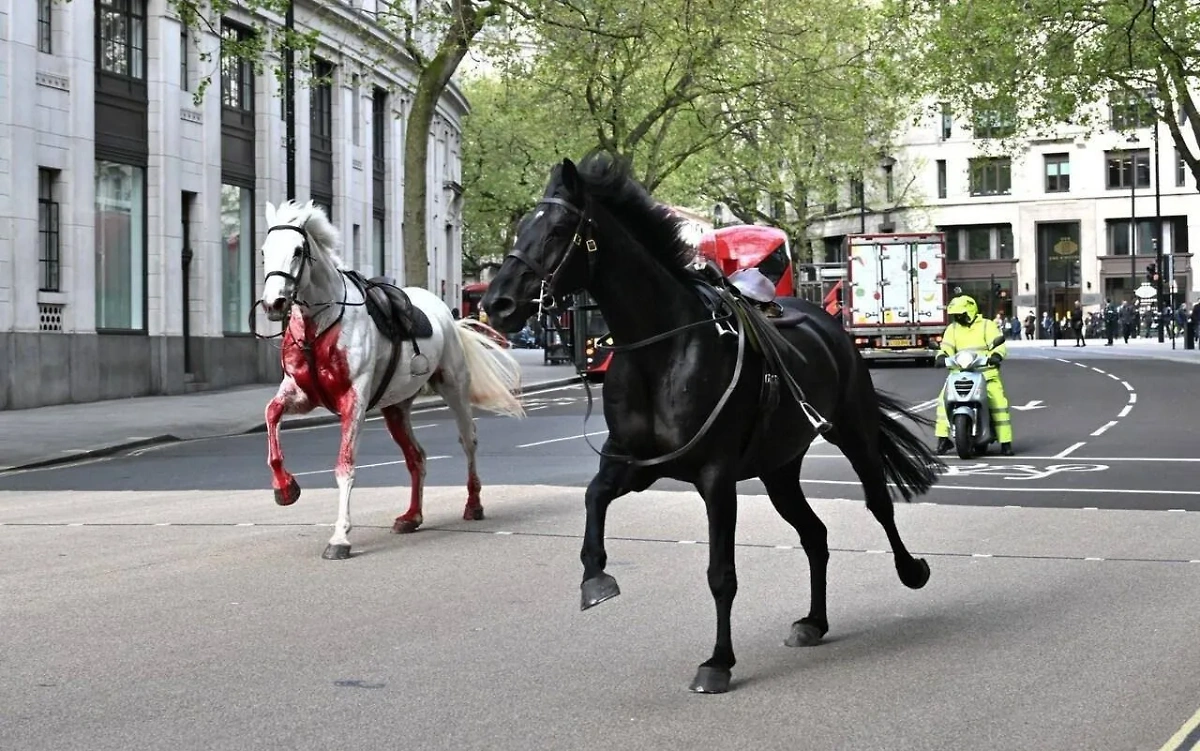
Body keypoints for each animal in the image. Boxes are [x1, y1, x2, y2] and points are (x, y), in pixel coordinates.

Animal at [258, 199, 525, 556]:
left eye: (298, 250)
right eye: (264, 251)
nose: (273, 303)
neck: (321, 325)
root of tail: (447, 314)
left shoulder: (353, 401)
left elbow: (345, 466)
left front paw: (340, 537)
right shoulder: (302, 394)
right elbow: (271, 414)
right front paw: (285, 488)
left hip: (454, 387)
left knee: (468, 440)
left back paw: (473, 504)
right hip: (396, 406)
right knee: (416, 457)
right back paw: (412, 516)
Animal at [482, 153, 940, 695]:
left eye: (556, 230)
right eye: (520, 228)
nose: (496, 304)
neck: (660, 351)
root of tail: (825, 319)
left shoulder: (716, 477)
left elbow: (721, 573)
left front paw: (718, 662)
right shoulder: (635, 464)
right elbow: (594, 498)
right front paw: (595, 579)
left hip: (853, 430)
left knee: (877, 503)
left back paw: (911, 570)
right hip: (778, 468)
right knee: (815, 534)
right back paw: (814, 621)